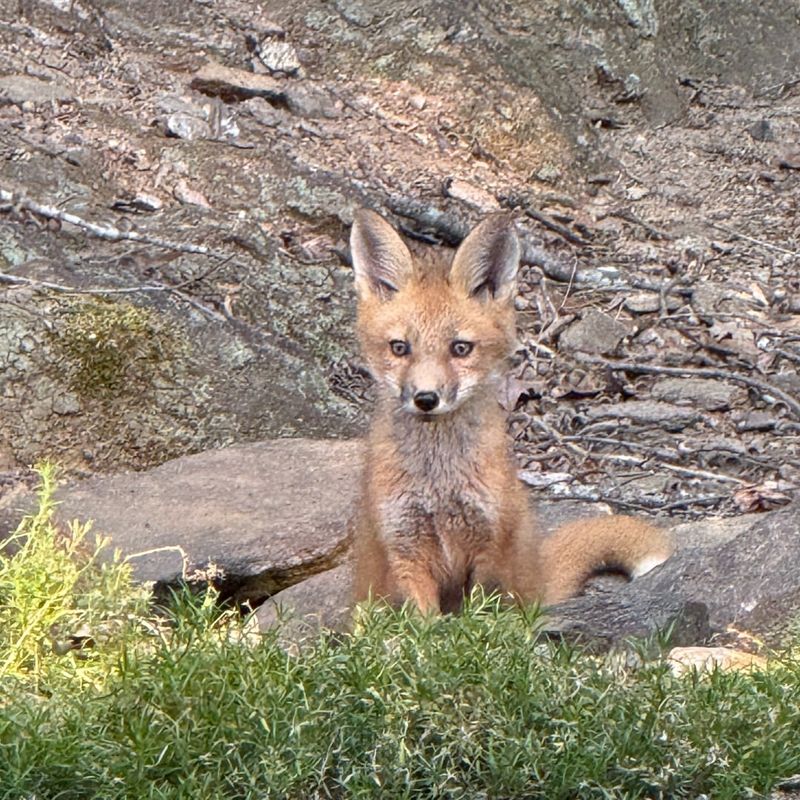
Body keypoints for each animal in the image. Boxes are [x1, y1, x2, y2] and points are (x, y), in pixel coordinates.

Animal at [349, 208, 672, 614]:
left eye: (460, 348)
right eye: (399, 347)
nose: (426, 398)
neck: (439, 483)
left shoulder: (490, 548)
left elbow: (480, 616)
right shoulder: (405, 550)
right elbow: (425, 624)